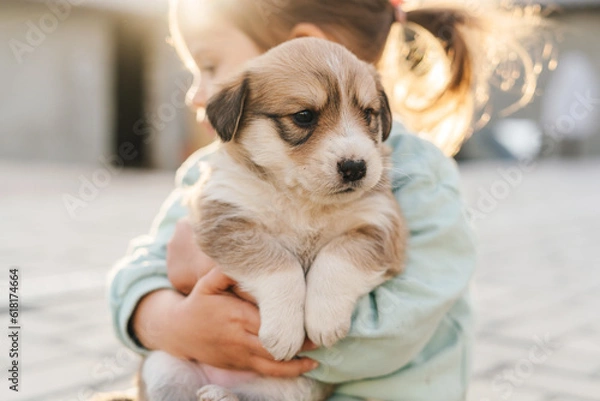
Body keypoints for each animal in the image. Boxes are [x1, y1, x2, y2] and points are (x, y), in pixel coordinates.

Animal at [139, 37, 408, 400]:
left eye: (368, 114)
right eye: (304, 116)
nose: (355, 167)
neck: (303, 199)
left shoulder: (380, 226)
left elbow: (336, 259)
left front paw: (324, 318)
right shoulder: (226, 219)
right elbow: (280, 266)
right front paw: (284, 330)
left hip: (290, 392)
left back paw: (223, 395)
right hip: (165, 367)